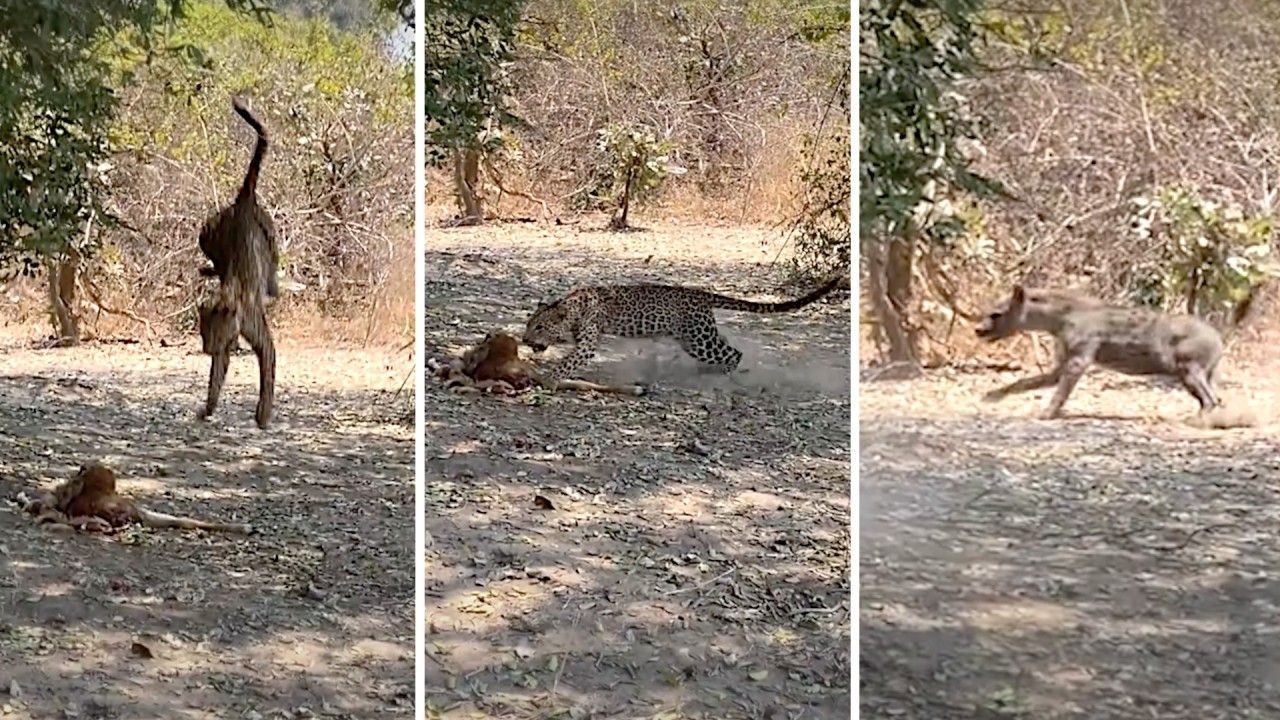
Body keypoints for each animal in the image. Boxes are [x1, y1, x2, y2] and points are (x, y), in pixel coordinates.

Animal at [522, 273, 847, 383]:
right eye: (529, 326)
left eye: (539, 327)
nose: (524, 340)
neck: (571, 309)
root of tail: (701, 295)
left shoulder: (588, 344)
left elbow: (568, 361)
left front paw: (549, 378)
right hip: (695, 338)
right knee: (727, 346)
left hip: (699, 339)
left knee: (734, 354)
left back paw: (720, 378)